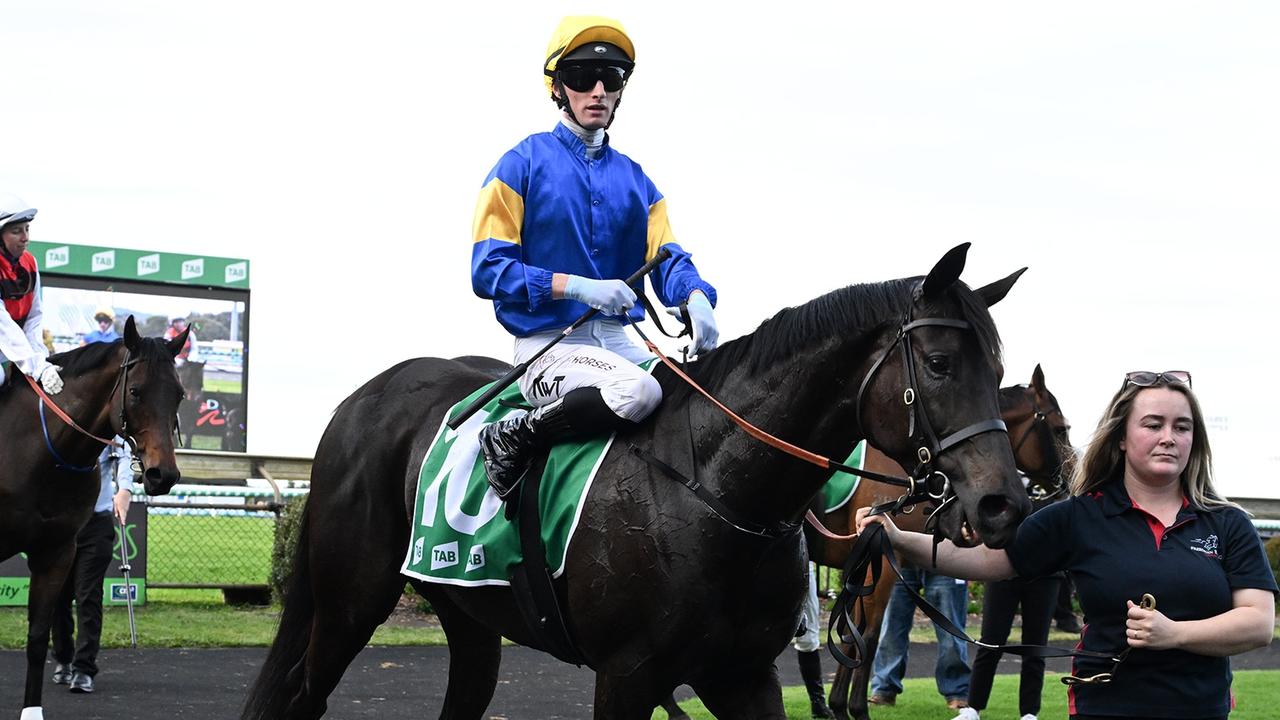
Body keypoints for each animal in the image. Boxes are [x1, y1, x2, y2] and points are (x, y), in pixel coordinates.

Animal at [244, 243, 1034, 712]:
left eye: (999, 370)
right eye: (940, 364)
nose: (1004, 505)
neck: (714, 490)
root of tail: (360, 400)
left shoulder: (742, 674)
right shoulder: (625, 674)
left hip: (468, 615)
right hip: (350, 604)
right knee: (306, 693)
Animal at [808, 363, 1070, 717]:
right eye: (1060, 429)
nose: (1068, 481)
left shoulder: (868, 558)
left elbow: (853, 631)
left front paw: (838, 704)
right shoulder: (883, 563)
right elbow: (870, 635)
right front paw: (856, 708)